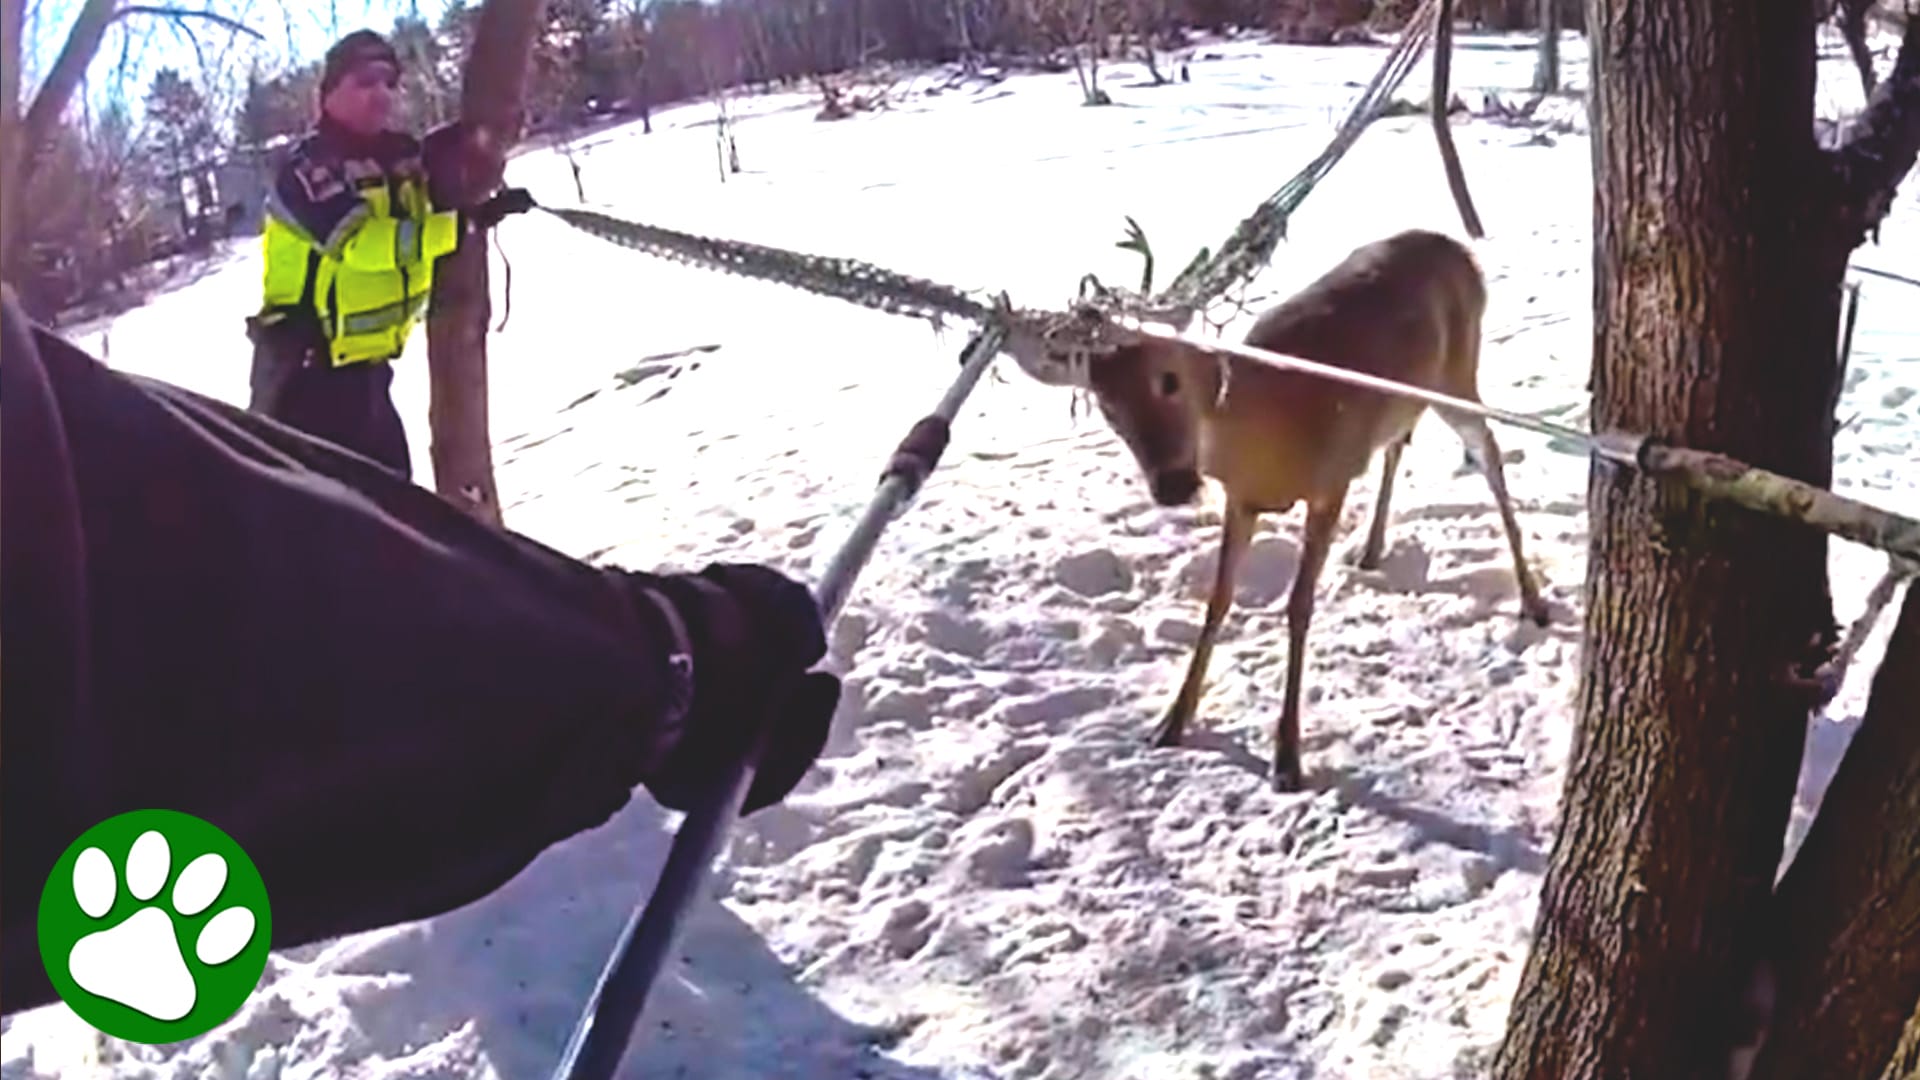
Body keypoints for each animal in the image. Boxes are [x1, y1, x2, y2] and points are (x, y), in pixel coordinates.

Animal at [1075, 228, 1552, 792]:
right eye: (1107, 406)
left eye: (1168, 379)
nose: (1172, 484)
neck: (1266, 424)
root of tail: (1458, 248)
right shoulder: (1242, 499)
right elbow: (1217, 601)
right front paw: (1172, 722)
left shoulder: (1330, 484)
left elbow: (1298, 606)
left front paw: (1287, 757)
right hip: (1407, 395)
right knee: (1398, 442)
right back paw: (1371, 549)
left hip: (1458, 371)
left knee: (1489, 453)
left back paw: (1533, 600)